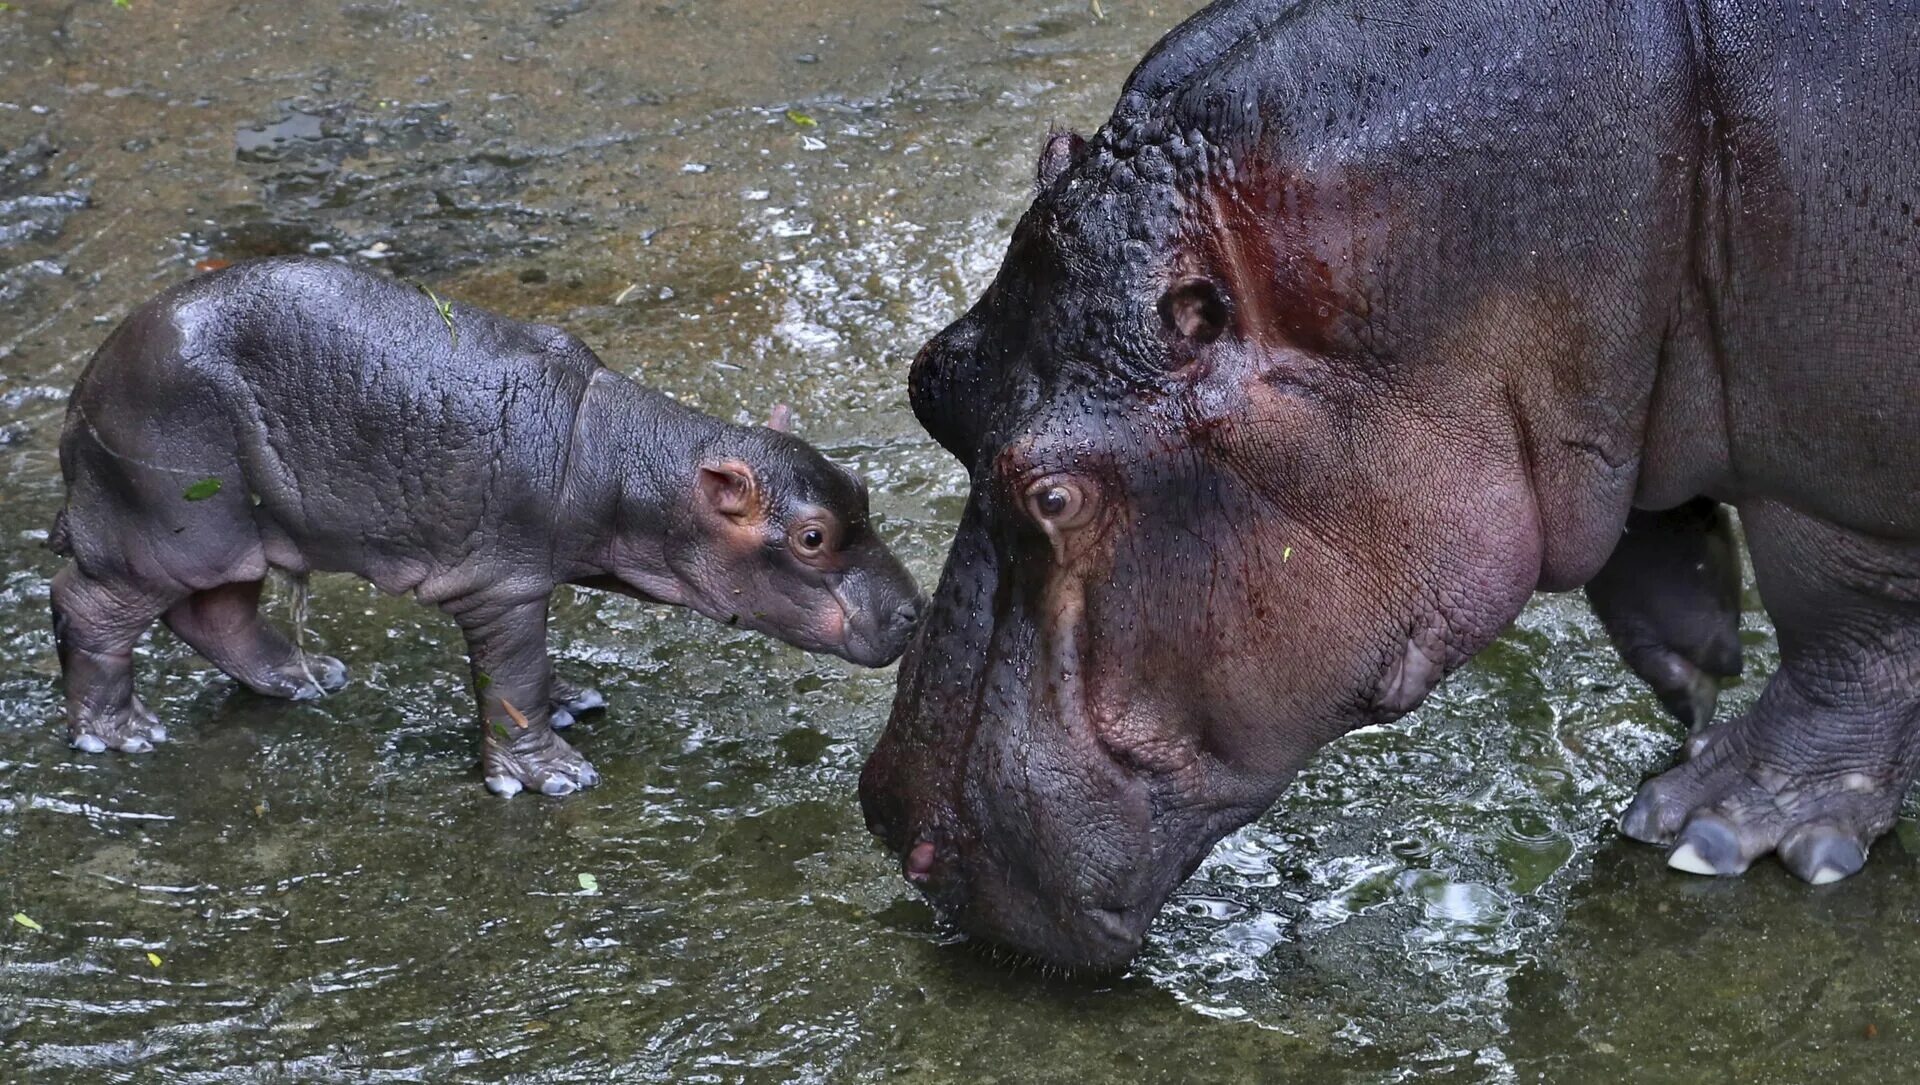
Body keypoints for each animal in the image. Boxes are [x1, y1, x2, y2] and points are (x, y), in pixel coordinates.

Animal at [50, 257, 921, 791]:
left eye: (862, 488)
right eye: (812, 537)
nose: (915, 611)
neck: (625, 457)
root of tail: (86, 378)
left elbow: (531, 671)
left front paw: (574, 700)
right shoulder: (502, 583)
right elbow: (512, 676)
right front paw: (555, 774)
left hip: (236, 533)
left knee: (216, 611)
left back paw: (309, 677)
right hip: (165, 526)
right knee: (86, 603)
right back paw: (122, 733)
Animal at [864, 0, 1920, 967]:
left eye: (1053, 498)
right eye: (928, 378)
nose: (889, 823)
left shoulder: (1841, 473)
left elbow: (1848, 621)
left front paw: (1719, 825)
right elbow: (1641, 537)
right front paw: (1695, 669)